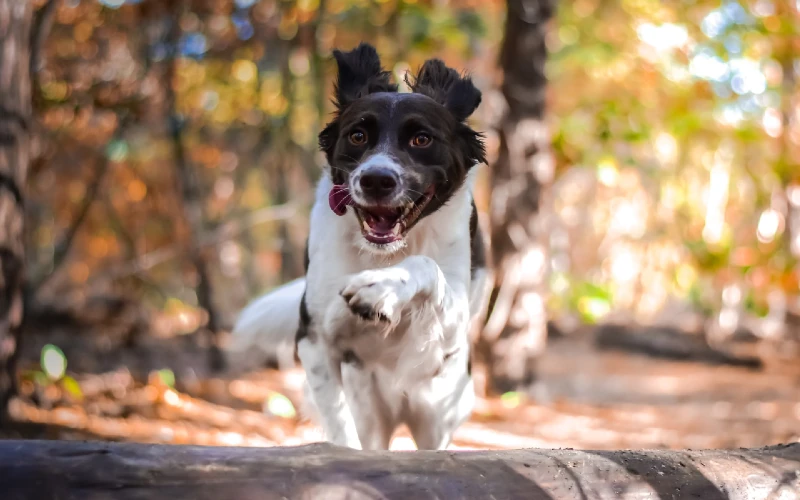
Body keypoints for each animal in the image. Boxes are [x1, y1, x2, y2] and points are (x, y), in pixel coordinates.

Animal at [230, 42, 488, 450]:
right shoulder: (315, 339)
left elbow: (426, 266)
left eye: (421, 139)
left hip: (440, 408)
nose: (376, 180)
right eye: (357, 136)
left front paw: (381, 288)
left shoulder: (451, 328)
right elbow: (339, 425)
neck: (384, 253)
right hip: (371, 405)